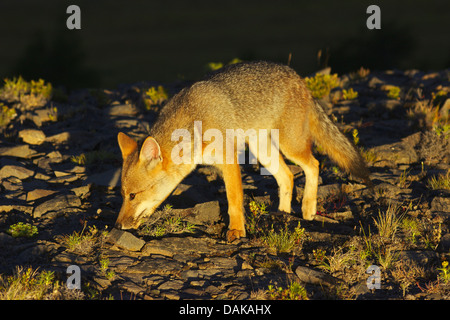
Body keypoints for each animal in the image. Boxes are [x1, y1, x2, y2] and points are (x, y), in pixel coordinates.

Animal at [116, 60, 372, 241]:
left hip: (290, 147)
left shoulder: (229, 161)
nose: (117, 225)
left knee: (314, 165)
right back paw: (284, 213)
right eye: (123, 195)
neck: (194, 121)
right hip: (263, 151)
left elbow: (234, 201)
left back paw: (308, 209)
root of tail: (297, 76)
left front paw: (237, 231)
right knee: (287, 176)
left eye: (133, 196)